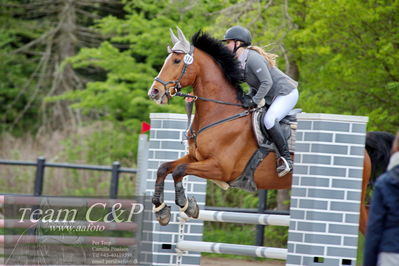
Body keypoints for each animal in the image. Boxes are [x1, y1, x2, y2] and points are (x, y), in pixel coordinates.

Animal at [147, 27, 394, 235]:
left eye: (177, 60)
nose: (154, 92)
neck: (221, 114)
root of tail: (363, 147)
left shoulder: (220, 168)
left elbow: (179, 172)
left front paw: (187, 205)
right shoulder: (196, 158)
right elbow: (164, 168)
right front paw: (161, 209)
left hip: (353, 197)